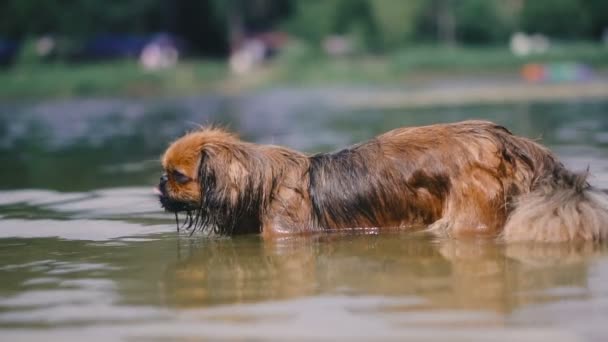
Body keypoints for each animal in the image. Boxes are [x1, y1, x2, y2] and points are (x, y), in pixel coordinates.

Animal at [156, 121, 608, 242]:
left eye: (178, 176)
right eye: (166, 174)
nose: (158, 186)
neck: (260, 183)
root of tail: (501, 137)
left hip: (467, 218)